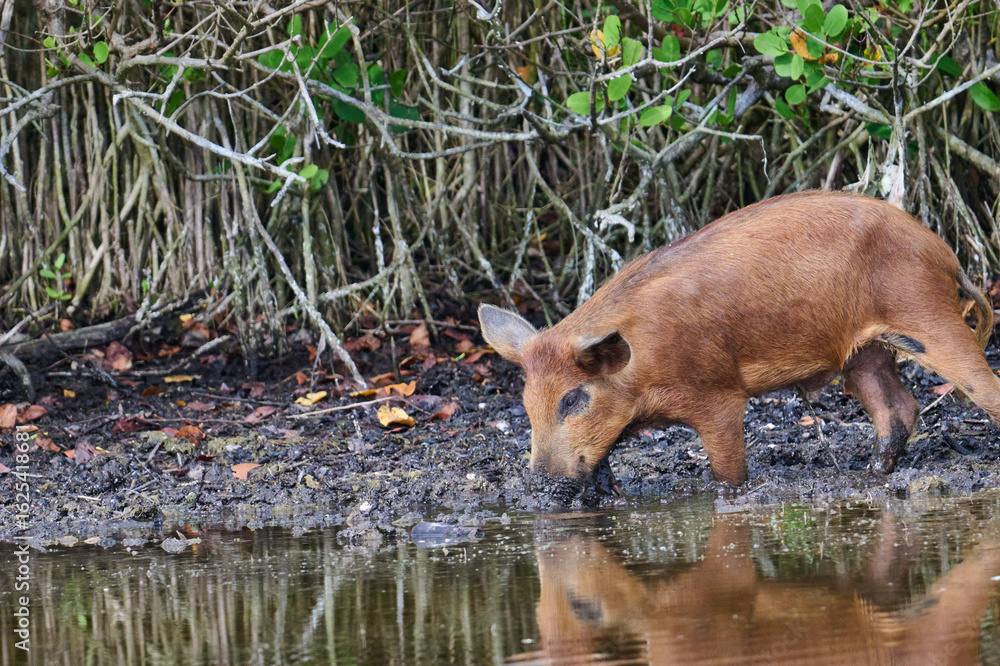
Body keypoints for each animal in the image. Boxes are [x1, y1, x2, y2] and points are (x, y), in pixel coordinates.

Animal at [479, 191, 999, 496]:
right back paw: (869, 475)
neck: (643, 374)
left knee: (985, 388)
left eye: (572, 399)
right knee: (899, 409)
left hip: (928, 316)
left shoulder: (719, 396)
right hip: (865, 353)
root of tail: (945, 253)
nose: (539, 483)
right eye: (526, 404)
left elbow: (728, 471)